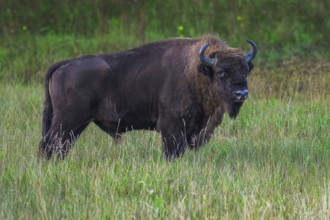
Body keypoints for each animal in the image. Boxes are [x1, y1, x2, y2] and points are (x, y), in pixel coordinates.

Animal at [38, 35, 255, 160]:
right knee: (48, 144)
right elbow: (173, 151)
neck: (197, 70)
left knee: (61, 146)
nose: (241, 94)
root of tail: (64, 65)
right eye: (221, 73)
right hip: (66, 122)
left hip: (77, 125)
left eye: (245, 71)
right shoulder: (172, 127)